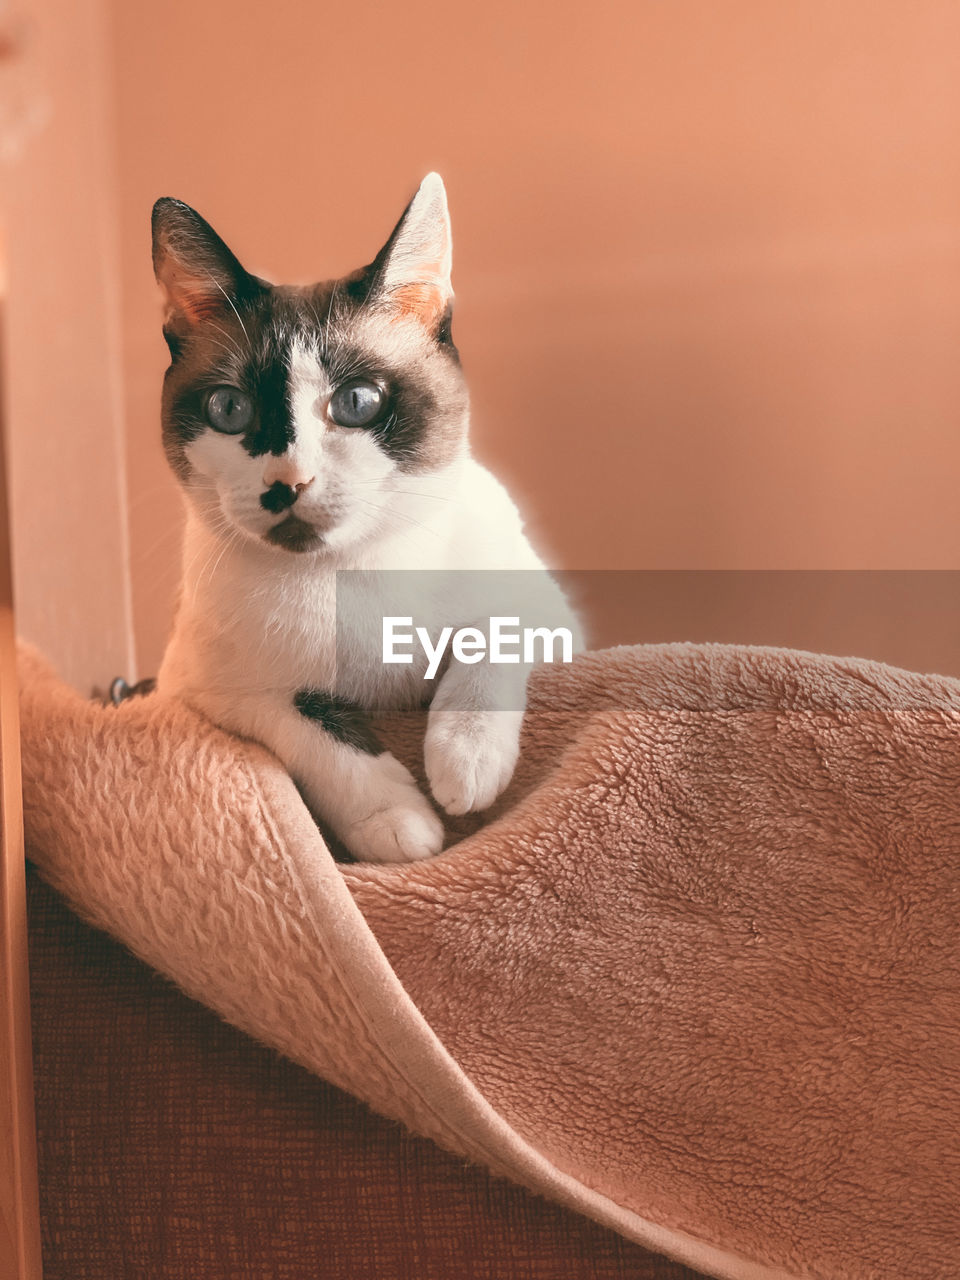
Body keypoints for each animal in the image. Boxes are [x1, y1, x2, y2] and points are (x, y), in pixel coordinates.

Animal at [150, 172, 578, 860]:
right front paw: (399, 824)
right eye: (229, 409)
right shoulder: (211, 689)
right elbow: (315, 726)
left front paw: (465, 762)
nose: (288, 482)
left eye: (357, 402)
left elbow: (494, 632)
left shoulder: (553, 615)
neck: (346, 575)